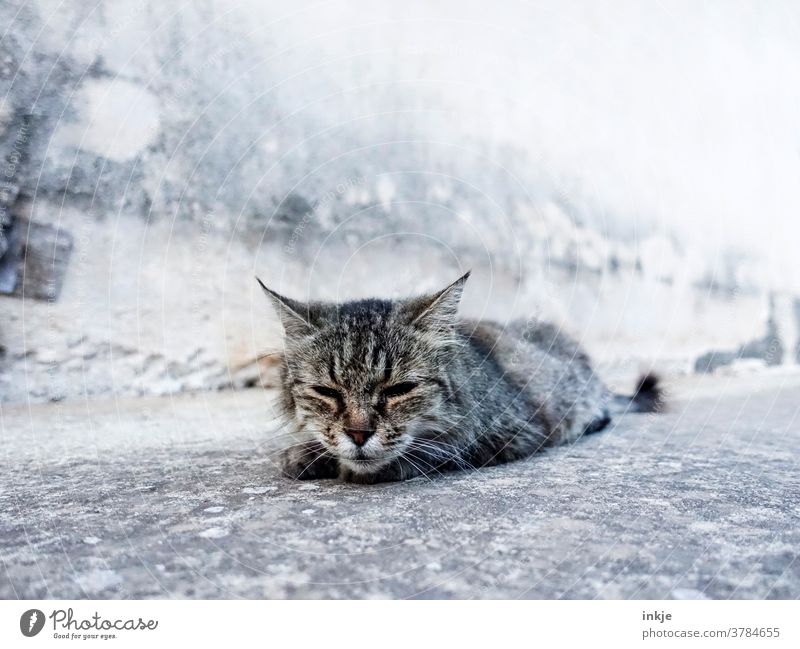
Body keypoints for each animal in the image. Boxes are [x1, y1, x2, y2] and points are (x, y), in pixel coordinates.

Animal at [258, 270, 664, 484]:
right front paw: (306, 453)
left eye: (400, 389)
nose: (358, 434)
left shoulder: (512, 432)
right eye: (326, 391)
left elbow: (434, 452)